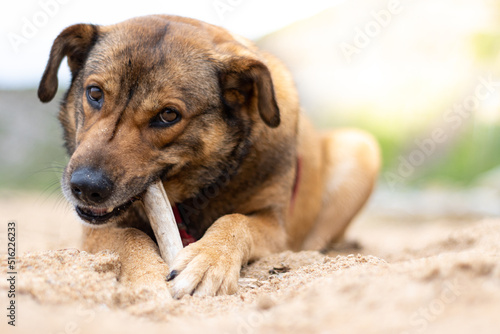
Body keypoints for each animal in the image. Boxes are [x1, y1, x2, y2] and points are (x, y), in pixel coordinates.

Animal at [39, 15, 380, 298]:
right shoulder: (96, 230)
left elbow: (235, 221)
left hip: (362, 147)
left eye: (168, 115)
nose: (86, 187)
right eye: (95, 93)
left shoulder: (275, 226)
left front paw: (208, 261)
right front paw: (149, 276)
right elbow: (131, 237)